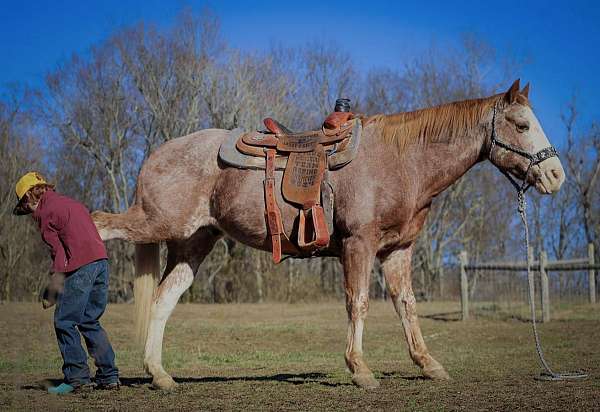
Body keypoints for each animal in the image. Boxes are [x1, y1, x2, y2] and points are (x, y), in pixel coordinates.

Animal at [92, 79, 564, 390]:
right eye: (522, 125)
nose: (555, 175)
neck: (402, 161)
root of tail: (158, 153)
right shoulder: (359, 245)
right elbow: (359, 303)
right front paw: (360, 369)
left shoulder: (398, 250)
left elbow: (407, 306)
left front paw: (428, 364)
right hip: (154, 222)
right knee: (98, 224)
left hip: (195, 242)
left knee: (162, 300)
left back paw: (160, 376)